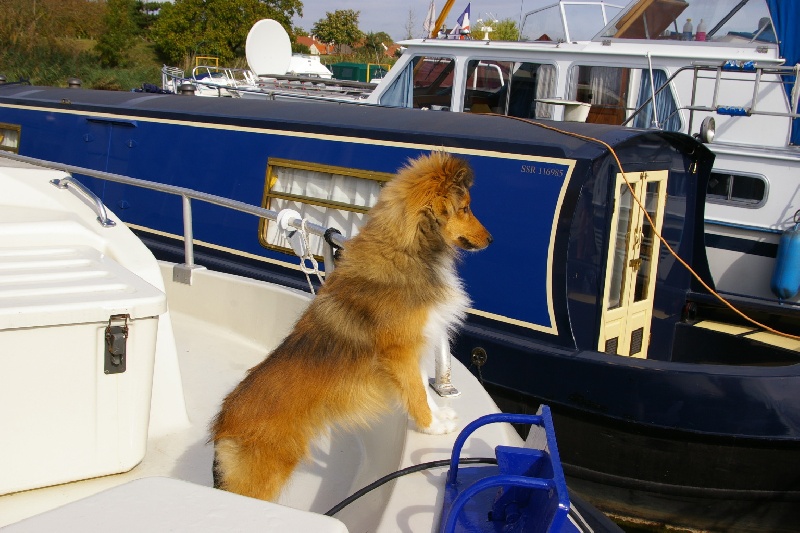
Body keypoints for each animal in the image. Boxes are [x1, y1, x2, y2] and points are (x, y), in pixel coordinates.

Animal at [209, 150, 490, 498]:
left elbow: (422, 388)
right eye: (465, 208)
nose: (491, 239)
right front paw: (432, 426)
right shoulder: (399, 352)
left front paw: (438, 416)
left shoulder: (415, 347)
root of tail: (222, 431)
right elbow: (415, 392)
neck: (407, 249)